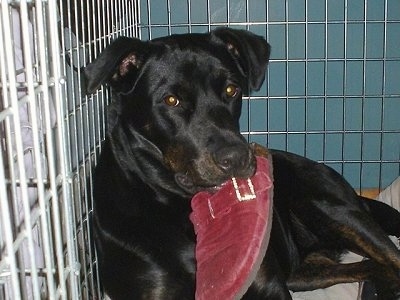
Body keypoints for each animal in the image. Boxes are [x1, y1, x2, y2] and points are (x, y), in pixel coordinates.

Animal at [85, 27, 400, 298]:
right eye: (171, 100)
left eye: (231, 90)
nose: (236, 157)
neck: (185, 208)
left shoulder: (266, 283)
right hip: (303, 272)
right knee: (371, 266)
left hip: (331, 208)